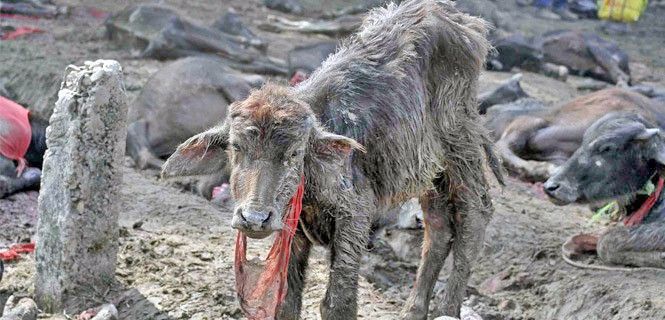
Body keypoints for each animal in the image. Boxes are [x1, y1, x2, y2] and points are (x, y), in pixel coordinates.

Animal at [163, 0, 500, 318]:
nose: (254, 219)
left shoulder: (354, 217)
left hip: (461, 145)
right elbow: (287, 301)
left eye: (295, 154)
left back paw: (448, 309)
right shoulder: (294, 230)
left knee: (474, 216)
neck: (312, 182)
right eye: (236, 147)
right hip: (430, 171)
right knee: (438, 227)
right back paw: (412, 311)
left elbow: (338, 303)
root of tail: (461, 21)